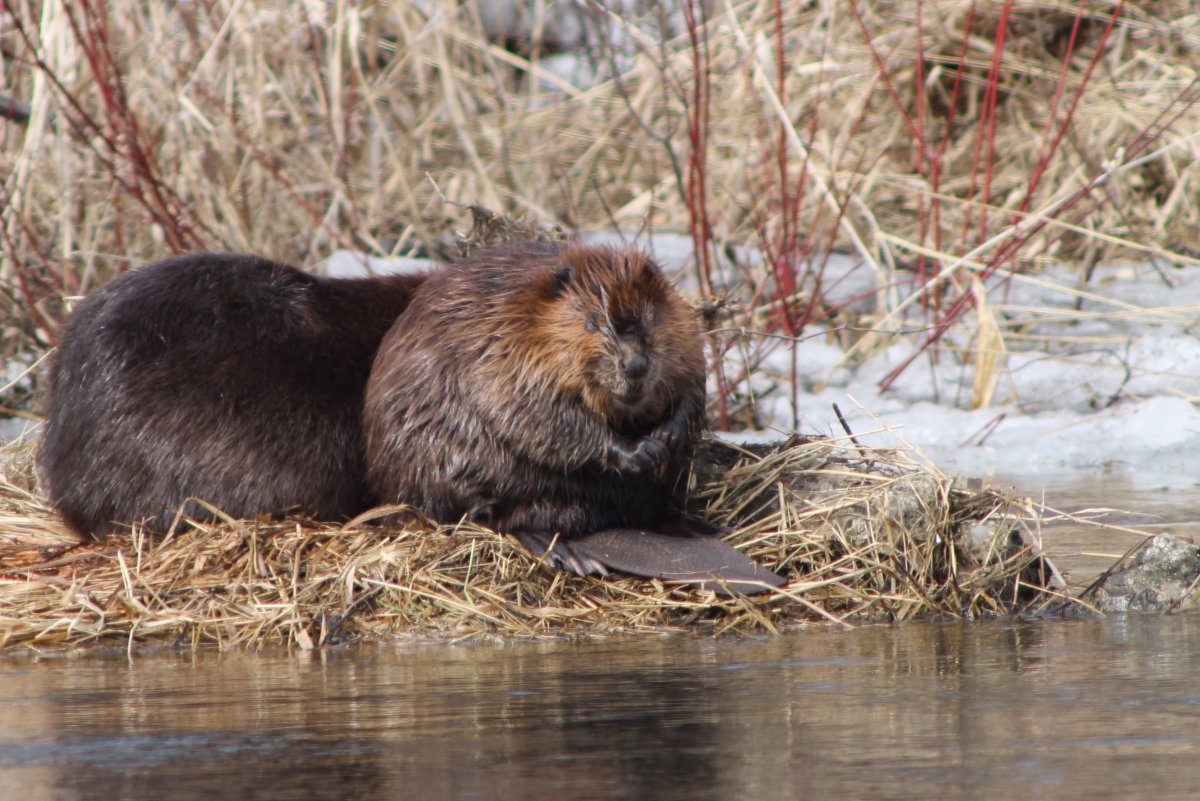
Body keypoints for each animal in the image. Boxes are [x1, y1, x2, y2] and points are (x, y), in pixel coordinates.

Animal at [364, 241, 784, 591]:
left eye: (652, 318)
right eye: (592, 323)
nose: (635, 366)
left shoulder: (684, 330)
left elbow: (692, 385)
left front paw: (669, 434)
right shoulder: (503, 354)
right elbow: (541, 417)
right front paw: (640, 450)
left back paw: (704, 528)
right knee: (489, 515)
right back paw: (564, 552)